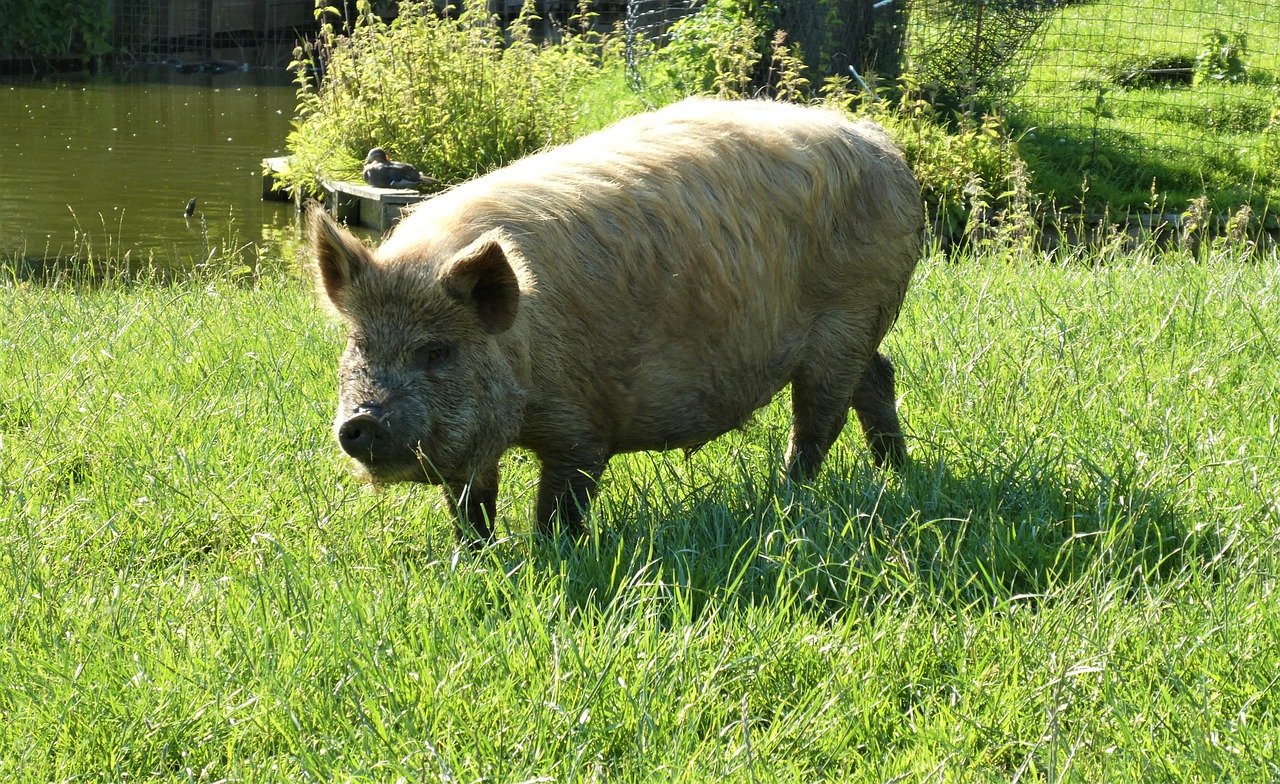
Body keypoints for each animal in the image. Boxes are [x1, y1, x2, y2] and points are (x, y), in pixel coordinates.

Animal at [308, 97, 923, 544]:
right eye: (359, 344)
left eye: (436, 351)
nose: (359, 422)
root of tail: (885, 148)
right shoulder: (475, 441)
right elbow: (469, 504)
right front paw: (476, 558)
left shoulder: (582, 425)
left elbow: (561, 500)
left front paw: (551, 555)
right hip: (859, 329)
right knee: (879, 378)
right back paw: (895, 472)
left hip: (846, 318)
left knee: (820, 420)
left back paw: (789, 497)